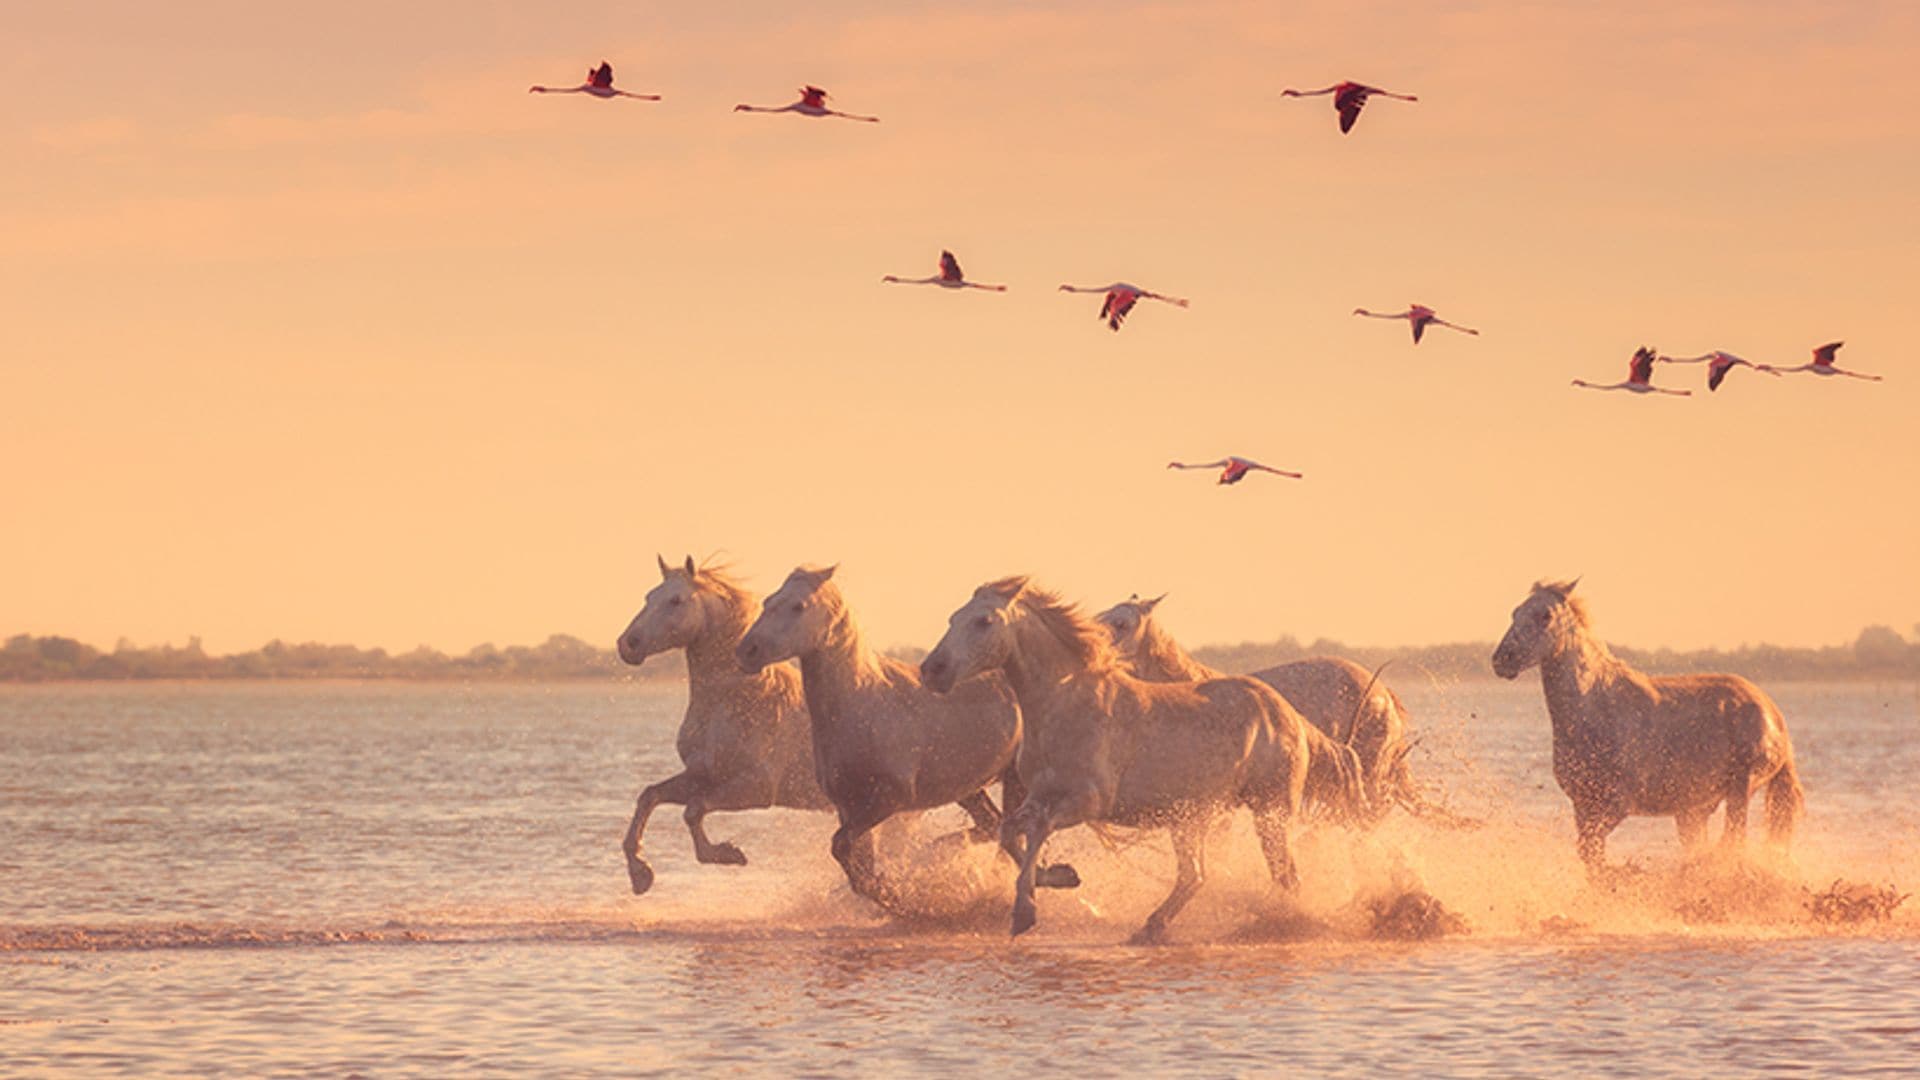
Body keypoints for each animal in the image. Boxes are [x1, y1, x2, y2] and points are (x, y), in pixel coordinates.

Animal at [614, 553, 825, 891]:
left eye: (675, 600)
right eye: (649, 596)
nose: (627, 644)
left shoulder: (758, 787)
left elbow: (693, 810)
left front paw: (727, 853)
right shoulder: (703, 774)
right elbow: (650, 795)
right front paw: (640, 873)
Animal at [733, 564, 1075, 907]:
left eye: (798, 606)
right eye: (769, 601)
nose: (747, 651)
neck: (861, 705)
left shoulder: (889, 798)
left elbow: (843, 847)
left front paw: (898, 897)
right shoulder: (848, 804)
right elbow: (855, 858)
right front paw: (893, 892)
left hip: (1015, 779)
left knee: (1010, 832)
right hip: (968, 789)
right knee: (994, 825)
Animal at [925, 576, 1320, 937]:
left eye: (984, 621)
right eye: (953, 618)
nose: (933, 670)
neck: (1062, 703)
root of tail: (1290, 715)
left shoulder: (1087, 802)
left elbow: (1037, 830)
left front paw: (1026, 910)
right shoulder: (1038, 795)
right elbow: (1009, 833)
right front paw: (1061, 876)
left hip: (1269, 811)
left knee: (1285, 876)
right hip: (1190, 819)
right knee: (1196, 875)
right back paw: (1151, 927)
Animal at [1482, 580, 1797, 864]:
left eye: (1545, 615)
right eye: (1515, 612)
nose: (1502, 660)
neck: (1596, 709)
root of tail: (1773, 714)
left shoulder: (1616, 805)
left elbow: (1591, 852)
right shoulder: (1582, 805)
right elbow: (1590, 858)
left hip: (1740, 790)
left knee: (1733, 842)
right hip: (1695, 810)